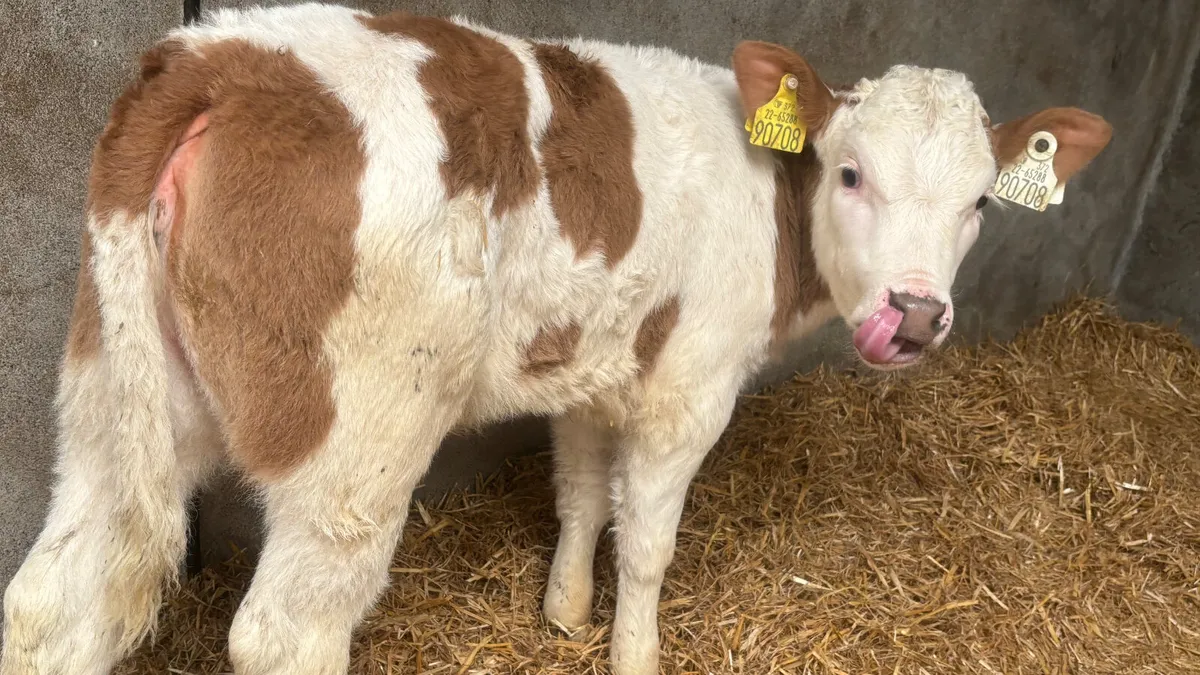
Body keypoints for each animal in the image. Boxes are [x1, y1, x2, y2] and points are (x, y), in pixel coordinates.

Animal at [0, 3, 1111, 674]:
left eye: (979, 202)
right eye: (850, 174)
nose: (914, 316)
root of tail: (220, 53)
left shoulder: (590, 365)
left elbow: (581, 492)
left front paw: (566, 611)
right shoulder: (690, 385)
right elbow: (649, 540)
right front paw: (635, 651)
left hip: (111, 403)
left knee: (55, 603)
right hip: (354, 444)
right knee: (287, 634)